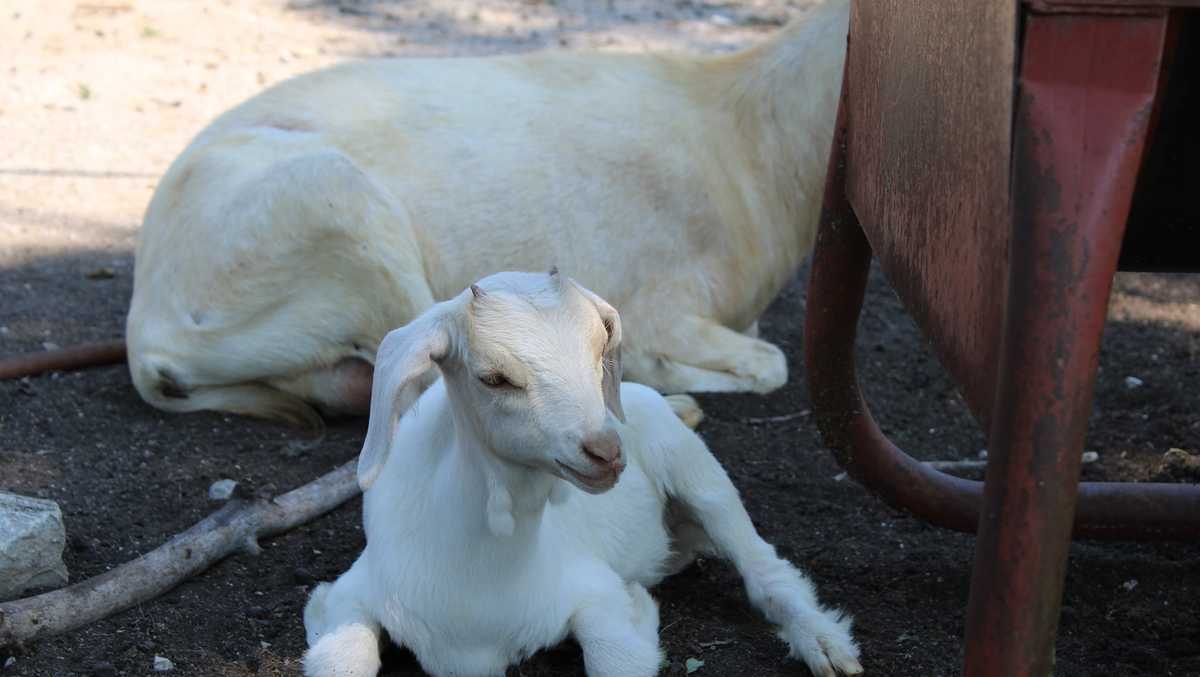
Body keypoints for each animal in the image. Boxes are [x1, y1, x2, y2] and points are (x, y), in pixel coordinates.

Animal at [125, 0, 850, 426]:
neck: (742, 140)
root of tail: (147, 337)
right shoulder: (660, 301)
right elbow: (771, 362)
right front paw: (654, 370)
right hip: (344, 206)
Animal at [302, 270, 862, 677]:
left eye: (599, 349)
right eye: (494, 377)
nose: (607, 451)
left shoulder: (595, 593)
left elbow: (616, 654)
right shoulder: (348, 596)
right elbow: (339, 658)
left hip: (699, 473)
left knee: (765, 568)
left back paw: (825, 644)